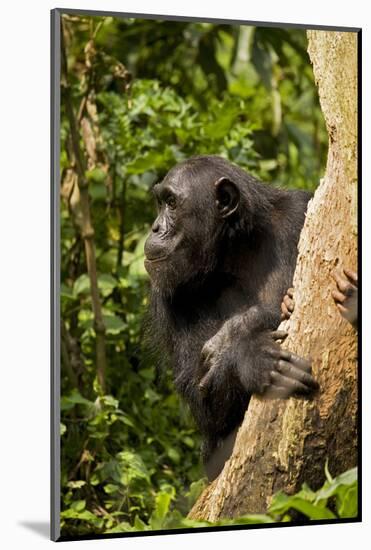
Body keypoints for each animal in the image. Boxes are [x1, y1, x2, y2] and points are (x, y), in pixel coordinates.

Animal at [145, 156, 320, 484]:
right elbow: (205, 405)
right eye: (161, 202)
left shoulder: (299, 210)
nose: (155, 227)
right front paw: (249, 355)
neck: (233, 253)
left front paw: (244, 327)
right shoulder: (167, 296)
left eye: (171, 203)